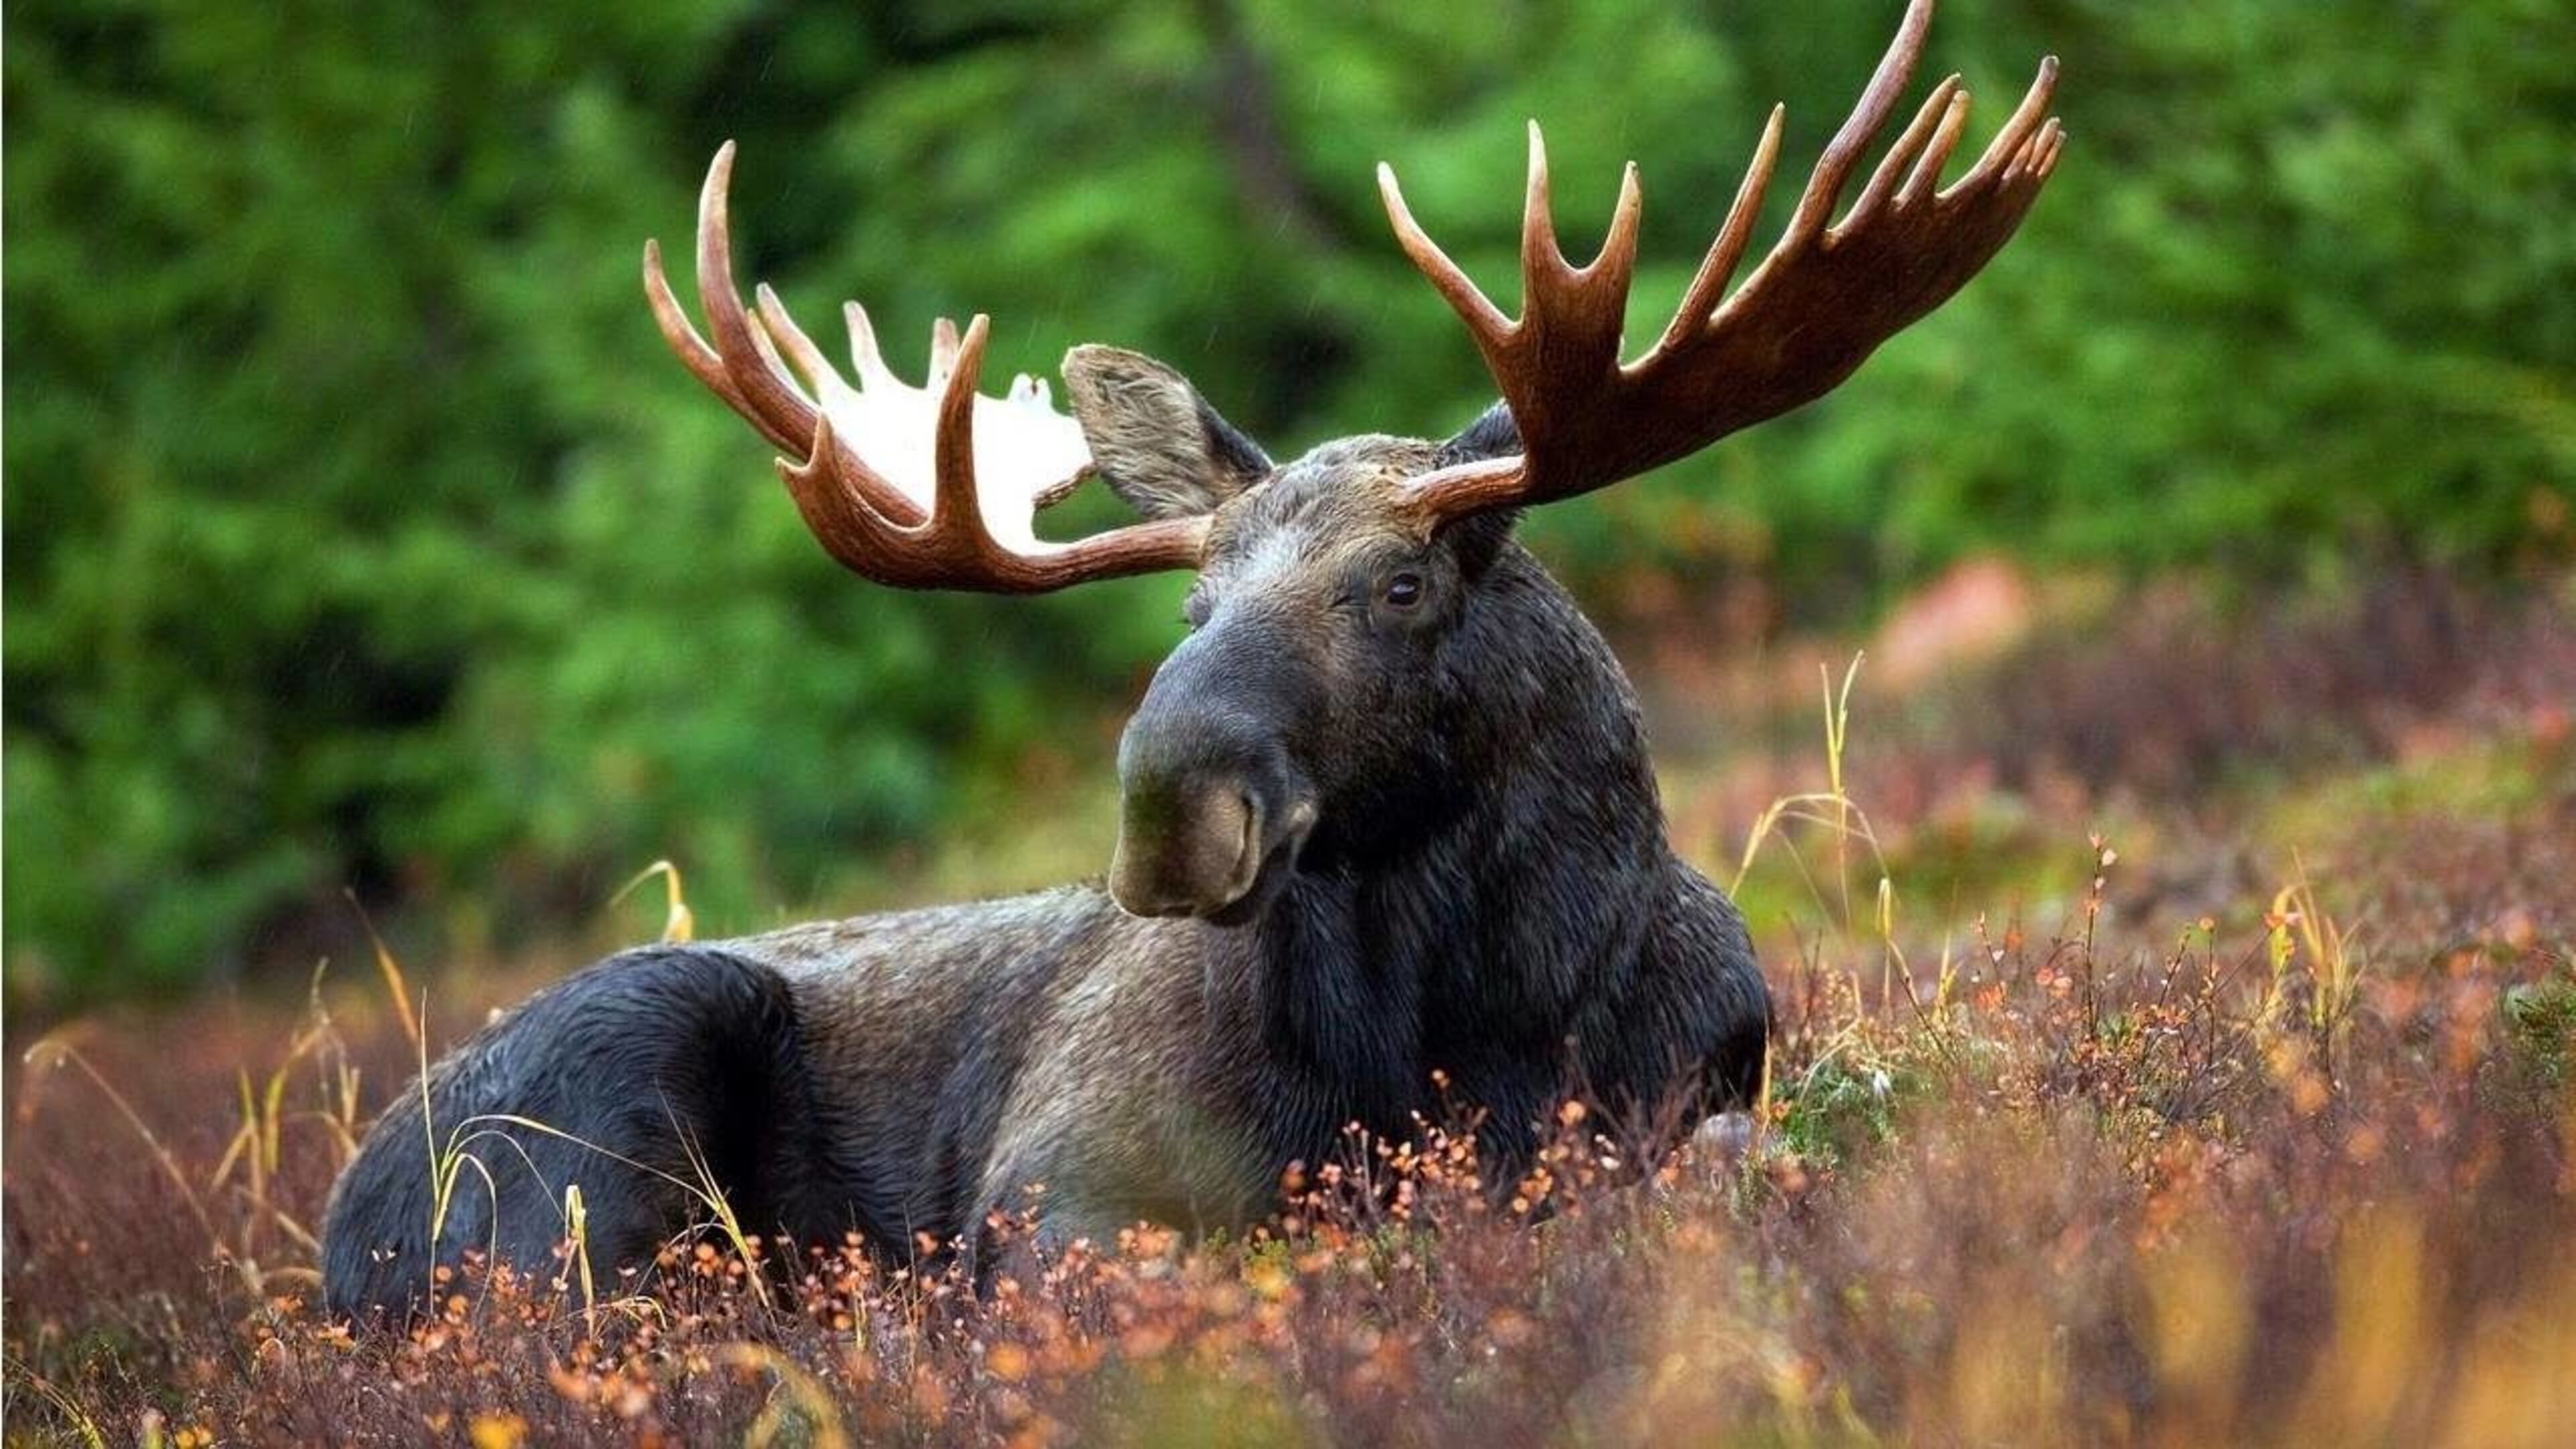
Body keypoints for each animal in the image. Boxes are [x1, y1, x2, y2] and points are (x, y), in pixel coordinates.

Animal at [322, 0, 2061, 1320]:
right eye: (1190, 604)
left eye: (1401, 583)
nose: (1171, 808)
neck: (1471, 1030)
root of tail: (340, 1230)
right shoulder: (1056, 1187)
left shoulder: (1700, 1096)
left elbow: (1735, 1164)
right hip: (602, 1112)